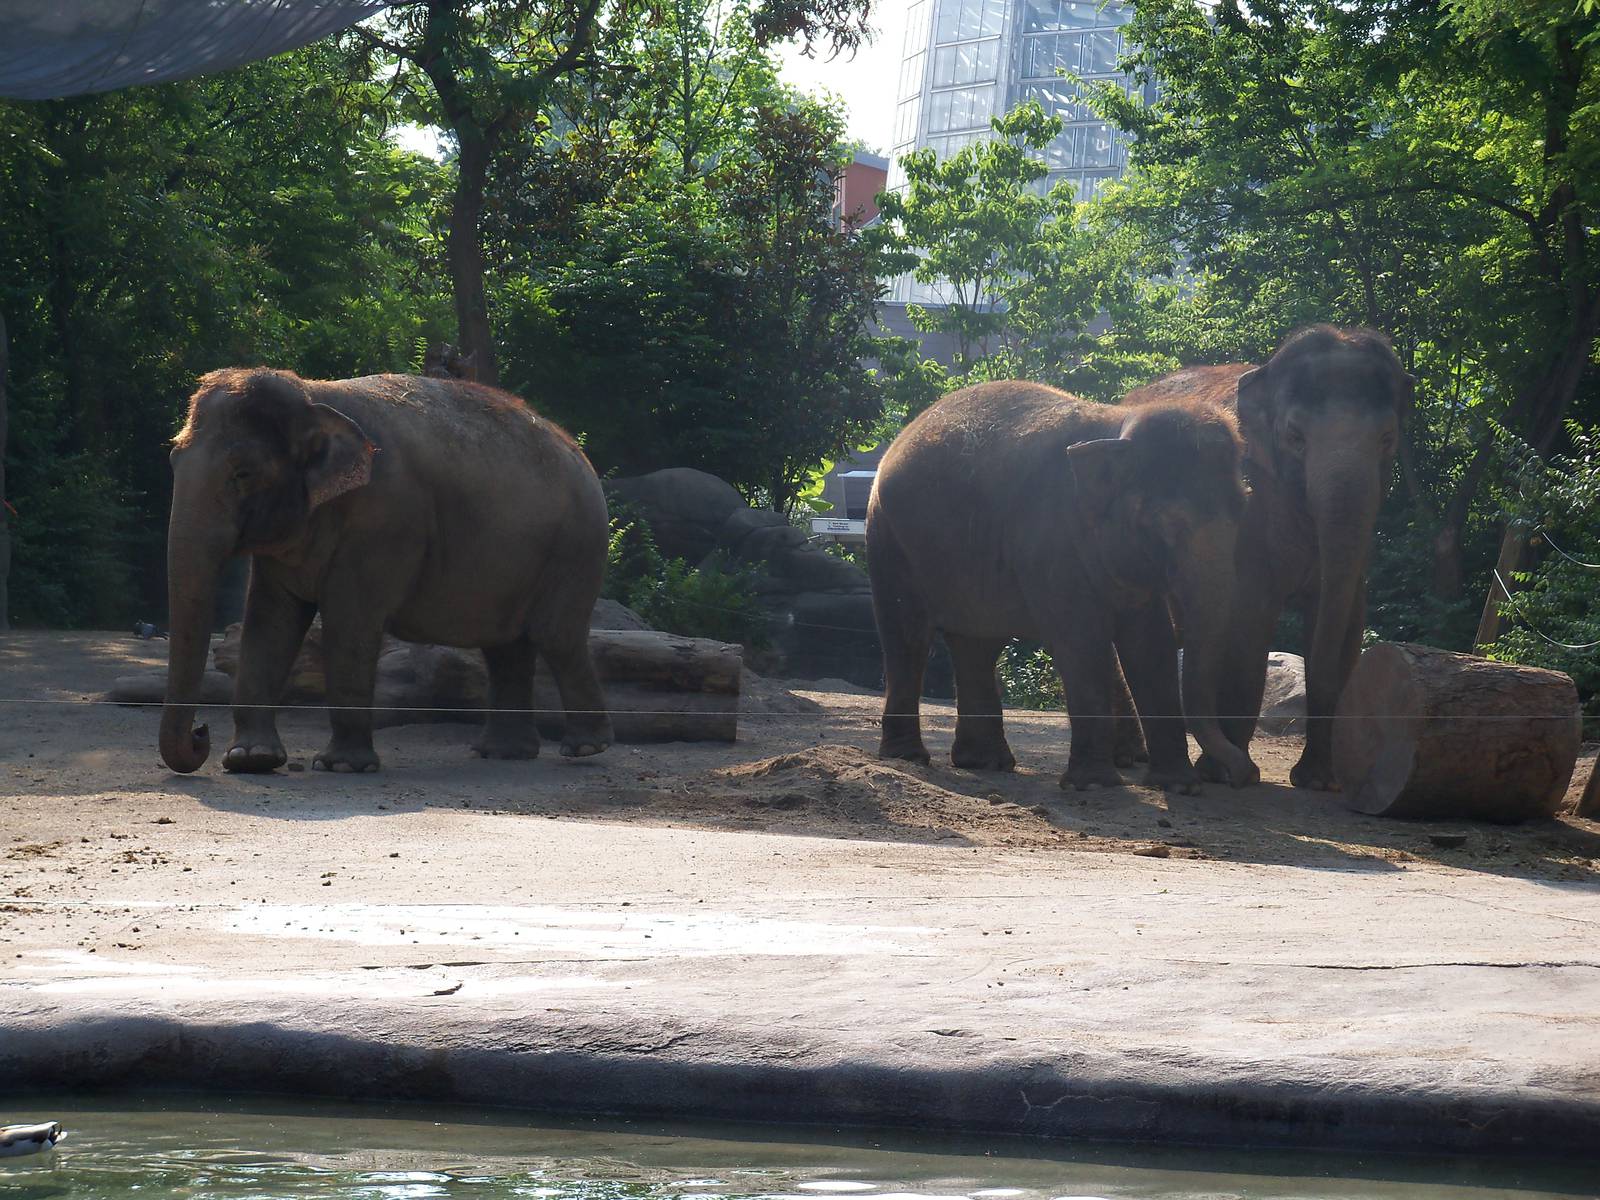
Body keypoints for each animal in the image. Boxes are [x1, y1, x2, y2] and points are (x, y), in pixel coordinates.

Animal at [160, 367, 613, 775]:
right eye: (172, 460)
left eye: (243, 473)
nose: (201, 733)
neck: (313, 395)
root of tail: (580, 453)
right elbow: (269, 622)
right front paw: (251, 760)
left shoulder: (385, 518)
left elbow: (350, 620)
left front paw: (342, 766)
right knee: (506, 644)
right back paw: (503, 753)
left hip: (576, 545)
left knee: (555, 636)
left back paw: (584, 748)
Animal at [867, 380, 1258, 794]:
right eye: (1167, 521)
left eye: (1242, 508)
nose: (1244, 773)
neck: (1117, 427)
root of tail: (901, 437)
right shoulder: (1049, 539)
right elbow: (1082, 638)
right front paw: (1094, 785)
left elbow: (1151, 643)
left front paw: (1177, 786)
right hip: (889, 540)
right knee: (908, 637)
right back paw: (908, 757)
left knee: (977, 645)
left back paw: (985, 762)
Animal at [1120, 324, 1412, 790]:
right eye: (1295, 437)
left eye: (1387, 440)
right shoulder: (1250, 514)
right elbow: (1248, 621)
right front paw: (1228, 774)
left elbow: (1347, 620)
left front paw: (1320, 781)